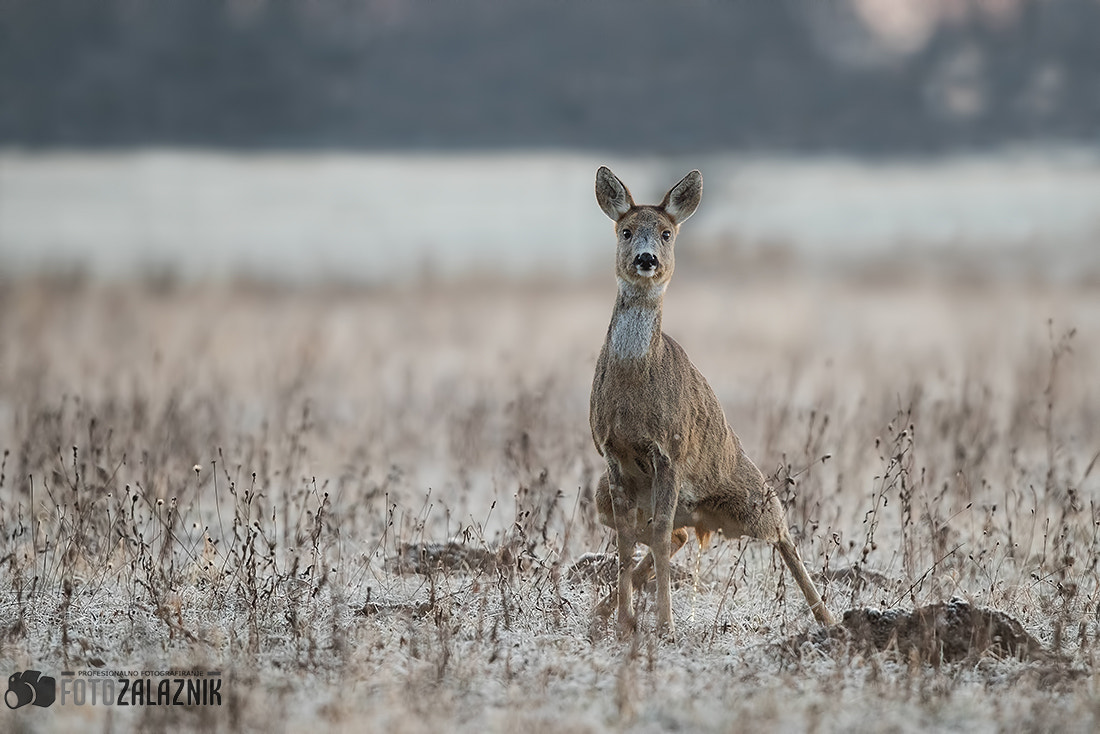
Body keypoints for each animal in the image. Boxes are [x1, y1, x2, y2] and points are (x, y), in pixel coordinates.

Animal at [594, 166, 831, 638]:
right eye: (625, 230)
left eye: (666, 233)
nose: (646, 259)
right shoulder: (610, 450)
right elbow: (627, 540)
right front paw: (625, 622)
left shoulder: (670, 448)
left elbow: (658, 535)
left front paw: (664, 625)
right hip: (603, 495)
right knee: (681, 534)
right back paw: (604, 611)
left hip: (749, 490)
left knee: (782, 530)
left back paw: (829, 618)